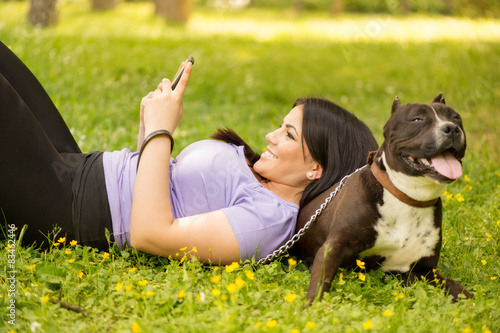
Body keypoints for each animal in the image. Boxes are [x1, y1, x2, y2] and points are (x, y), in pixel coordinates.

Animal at [292, 92, 472, 300]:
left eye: (456, 117)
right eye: (417, 119)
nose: (451, 128)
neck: (407, 196)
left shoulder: (423, 270)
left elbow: (458, 289)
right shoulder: (333, 247)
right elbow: (320, 282)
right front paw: (313, 306)